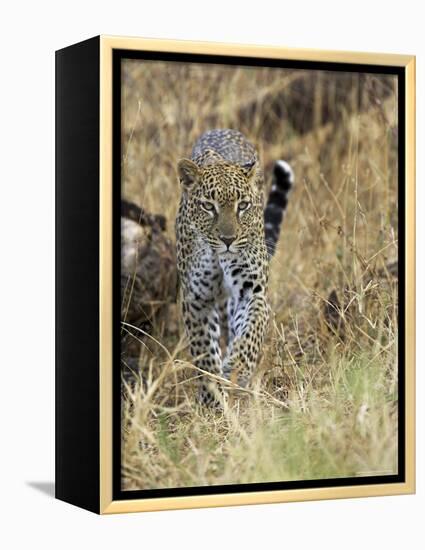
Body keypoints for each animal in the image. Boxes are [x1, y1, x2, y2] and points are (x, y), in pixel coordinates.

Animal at [175, 128, 292, 406]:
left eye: (243, 206)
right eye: (208, 206)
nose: (228, 240)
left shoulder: (252, 291)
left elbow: (250, 332)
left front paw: (236, 371)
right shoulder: (196, 299)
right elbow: (205, 350)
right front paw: (212, 397)